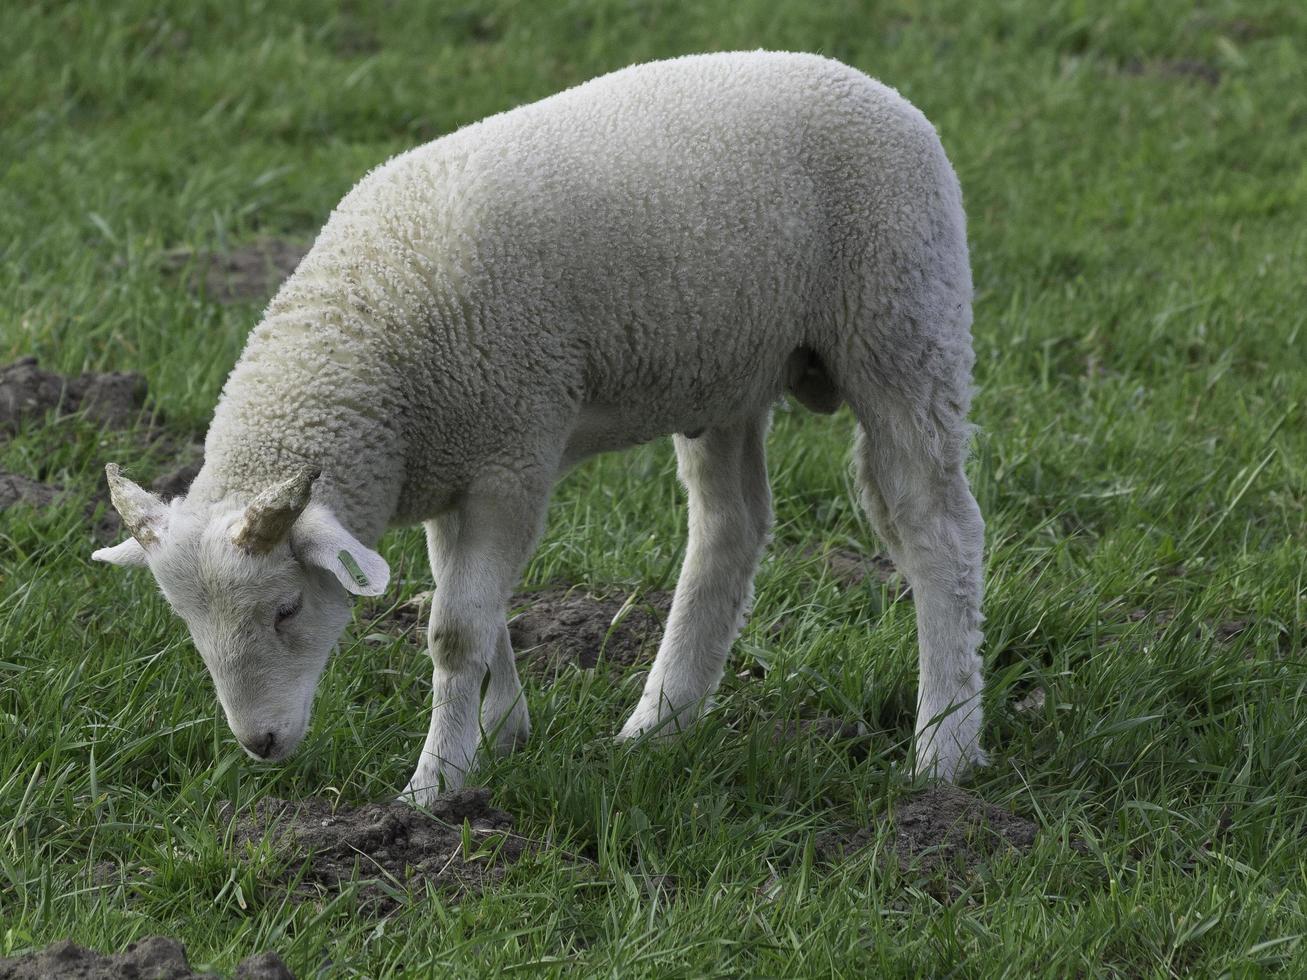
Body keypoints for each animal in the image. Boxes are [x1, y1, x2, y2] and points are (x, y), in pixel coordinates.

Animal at [94, 49, 988, 804]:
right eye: (187, 624)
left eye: (285, 610)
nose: (262, 746)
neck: (367, 340)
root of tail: (875, 86)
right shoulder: (452, 466)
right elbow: (473, 614)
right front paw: (501, 733)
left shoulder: (510, 458)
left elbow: (454, 631)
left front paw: (436, 786)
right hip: (726, 369)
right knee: (730, 527)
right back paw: (659, 723)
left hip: (901, 322)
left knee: (939, 530)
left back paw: (941, 750)